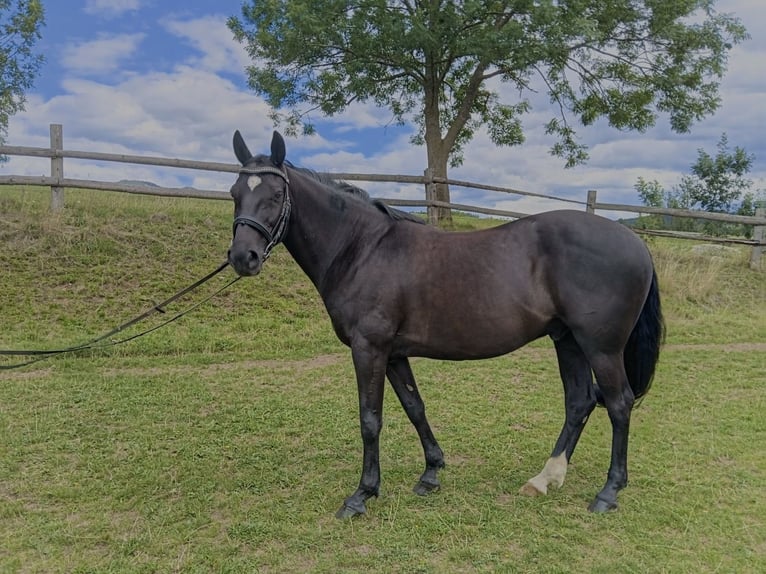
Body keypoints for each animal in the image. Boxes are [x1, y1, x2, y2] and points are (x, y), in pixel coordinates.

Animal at [226, 130, 664, 518]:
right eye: (235, 193)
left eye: (276, 194)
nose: (243, 257)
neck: (363, 250)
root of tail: (635, 241)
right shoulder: (393, 354)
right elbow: (414, 407)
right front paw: (431, 473)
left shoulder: (369, 348)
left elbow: (370, 420)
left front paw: (361, 495)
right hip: (568, 340)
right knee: (579, 401)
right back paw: (544, 479)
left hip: (601, 347)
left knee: (619, 404)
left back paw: (608, 493)